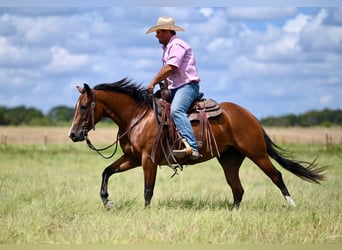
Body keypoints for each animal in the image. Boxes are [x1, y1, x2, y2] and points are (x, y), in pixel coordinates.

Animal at [67, 78, 326, 209]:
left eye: (84, 106)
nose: (73, 134)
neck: (137, 116)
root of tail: (249, 115)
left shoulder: (148, 160)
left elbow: (148, 190)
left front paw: (145, 213)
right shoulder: (132, 158)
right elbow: (106, 171)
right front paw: (107, 201)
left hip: (257, 153)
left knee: (276, 176)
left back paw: (291, 205)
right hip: (229, 159)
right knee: (238, 189)